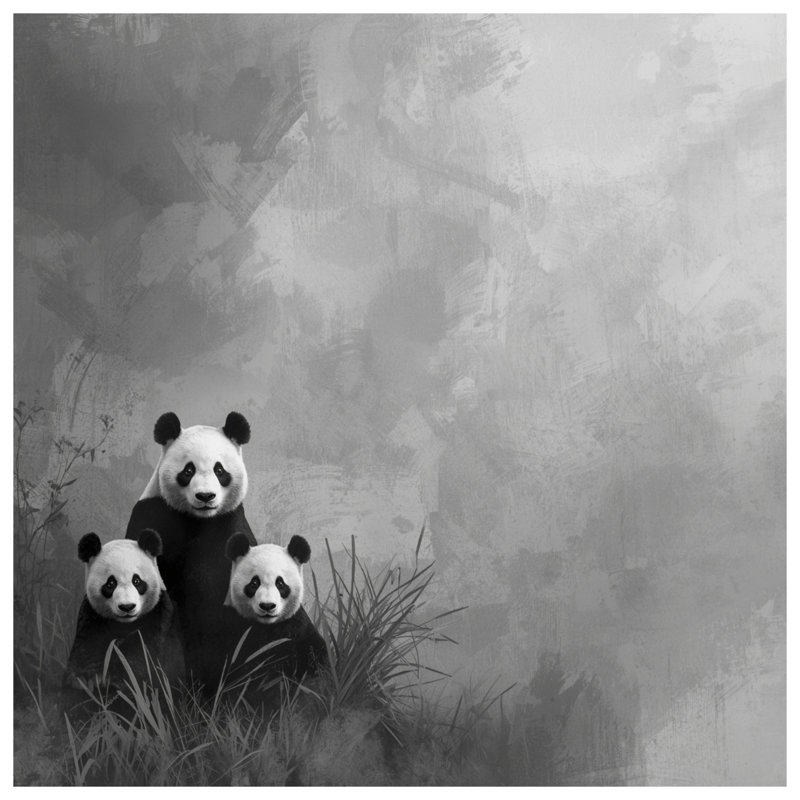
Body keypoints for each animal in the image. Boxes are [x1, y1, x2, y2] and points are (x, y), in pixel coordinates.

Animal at [63, 529, 172, 698]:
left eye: (137, 581)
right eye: (111, 583)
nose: (127, 607)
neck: (125, 624)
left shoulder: (158, 614)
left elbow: (142, 652)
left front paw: (115, 681)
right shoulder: (91, 617)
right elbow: (85, 650)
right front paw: (86, 680)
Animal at [125, 411, 257, 691]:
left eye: (220, 470)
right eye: (188, 470)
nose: (205, 496)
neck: (197, 519)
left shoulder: (228, 525)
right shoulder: (154, 514)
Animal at [224, 532, 327, 689]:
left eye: (280, 583)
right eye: (254, 583)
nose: (267, 606)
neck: (268, 626)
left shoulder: (297, 628)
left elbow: (315, 659)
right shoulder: (238, 629)